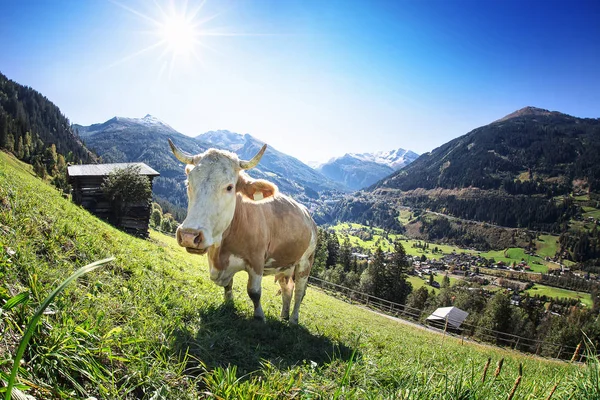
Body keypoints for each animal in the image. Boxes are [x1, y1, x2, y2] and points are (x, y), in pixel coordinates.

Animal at [169, 139, 318, 324]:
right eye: (189, 183)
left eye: (229, 187)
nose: (189, 235)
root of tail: (309, 216)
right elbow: (228, 285)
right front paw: (228, 304)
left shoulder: (257, 261)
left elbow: (254, 292)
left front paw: (259, 317)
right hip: (285, 265)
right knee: (287, 289)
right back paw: (283, 316)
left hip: (305, 262)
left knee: (299, 292)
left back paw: (293, 320)